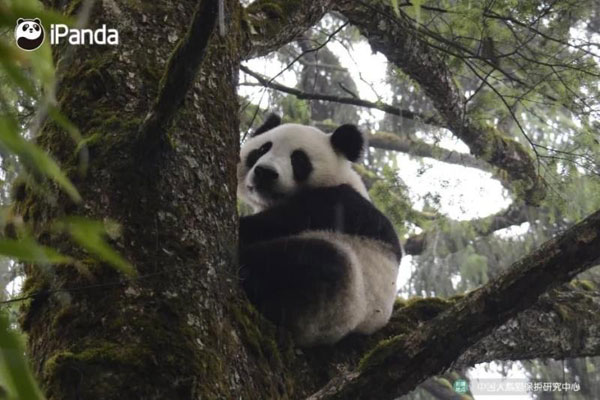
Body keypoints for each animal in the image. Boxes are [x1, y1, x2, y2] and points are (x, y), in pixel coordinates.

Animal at [237, 114, 400, 346]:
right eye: (262, 149)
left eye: (298, 160)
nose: (265, 173)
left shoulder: (338, 204)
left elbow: (278, 222)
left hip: (342, 300)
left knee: (312, 259)